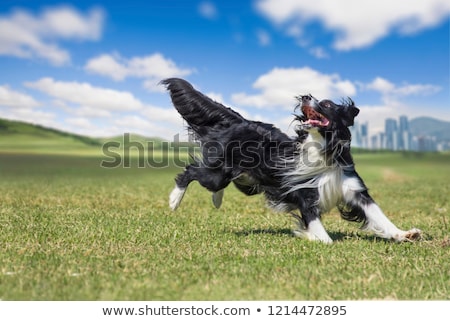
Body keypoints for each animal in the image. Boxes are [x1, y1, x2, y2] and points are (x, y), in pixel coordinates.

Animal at [163, 78, 422, 242]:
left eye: (327, 104)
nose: (306, 96)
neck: (322, 149)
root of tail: (240, 120)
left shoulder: (354, 189)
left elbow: (378, 214)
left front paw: (404, 234)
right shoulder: (305, 196)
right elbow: (324, 237)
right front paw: (308, 236)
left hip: (243, 179)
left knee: (216, 184)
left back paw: (215, 200)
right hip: (217, 173)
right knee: (190, 171)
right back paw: (174, 201)